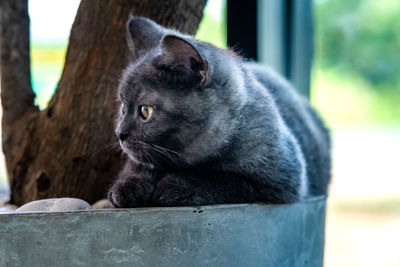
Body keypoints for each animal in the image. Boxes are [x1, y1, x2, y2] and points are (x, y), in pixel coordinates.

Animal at [107, 15, 332, 208]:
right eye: (123, 107)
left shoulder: (282, 182)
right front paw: (130, 184)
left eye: (146, 111)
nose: (120, 134)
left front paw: (178, 185)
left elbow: (227, 180)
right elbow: (137, 167)